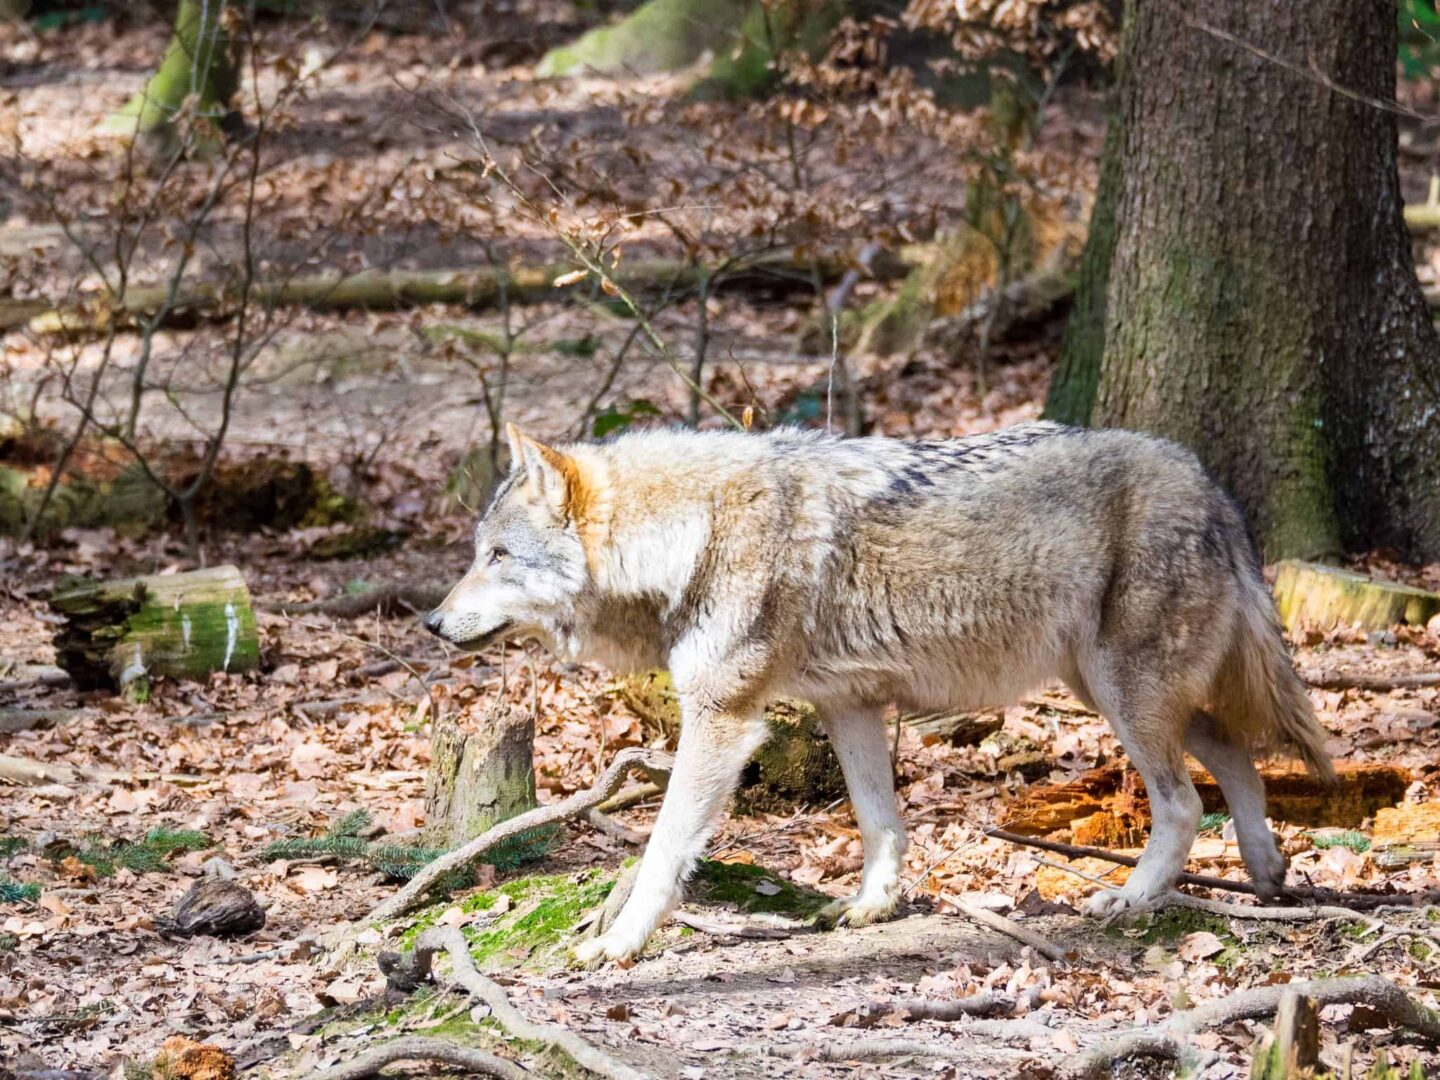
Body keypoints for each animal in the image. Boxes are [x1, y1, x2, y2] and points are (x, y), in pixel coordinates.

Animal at [424, 420, 1334, 965]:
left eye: (498, 557)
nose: (432, 621)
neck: (689, 534)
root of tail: (1209, 483)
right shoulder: (848, 705)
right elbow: (878, 820)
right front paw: (871, 906)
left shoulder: (721, 721)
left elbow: (662, 850)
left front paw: (616, 945)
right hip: (1112, 688)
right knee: (1239, 757)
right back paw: (1266, 874)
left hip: (1122, 695)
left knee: (1184, 801)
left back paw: (1132, 901)